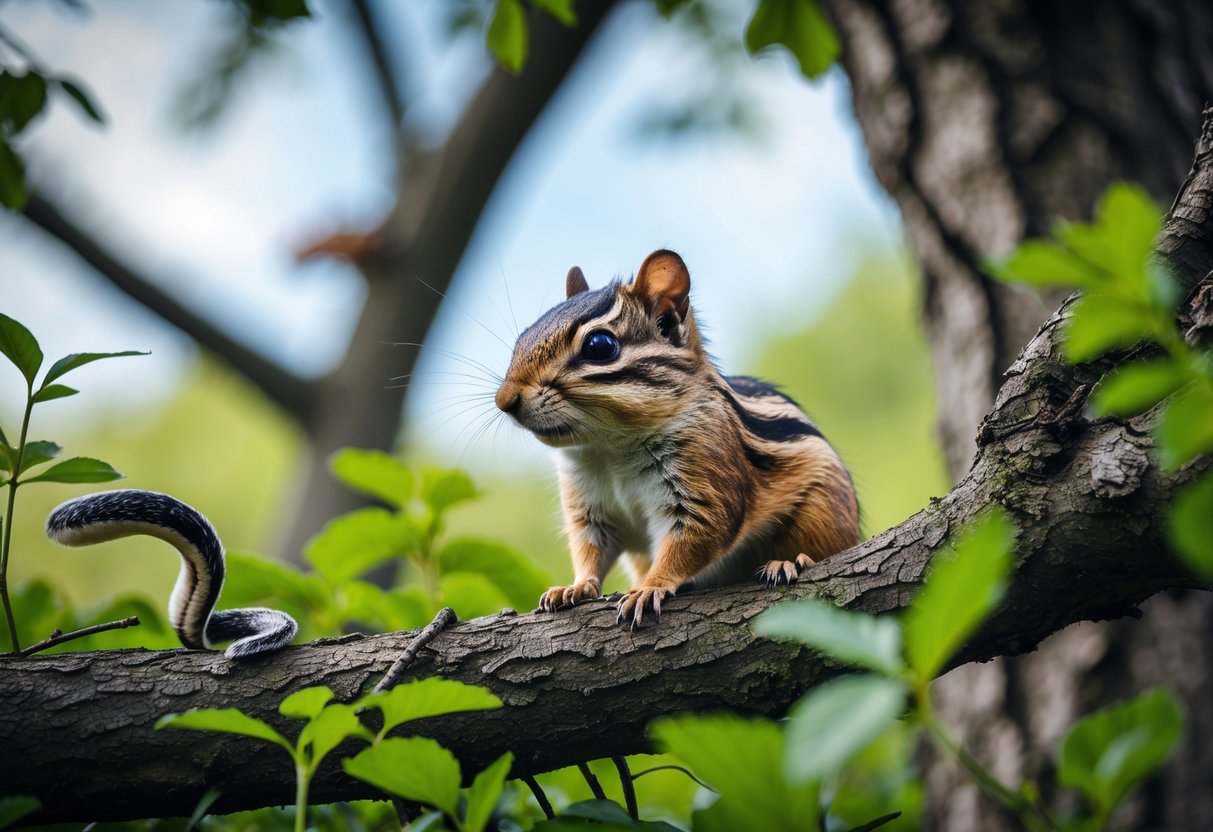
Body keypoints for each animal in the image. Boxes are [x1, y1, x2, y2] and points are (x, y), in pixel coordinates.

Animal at [495, 250, 860, 627]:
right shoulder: (588, 507)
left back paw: (789, 561)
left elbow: (692, 540)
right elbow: (590, 549)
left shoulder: (703, 479)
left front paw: (649, 587)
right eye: (522, 338)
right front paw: (575, 587)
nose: (504, 401)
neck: (610, 448)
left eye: (600, 346)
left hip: (822, 513)